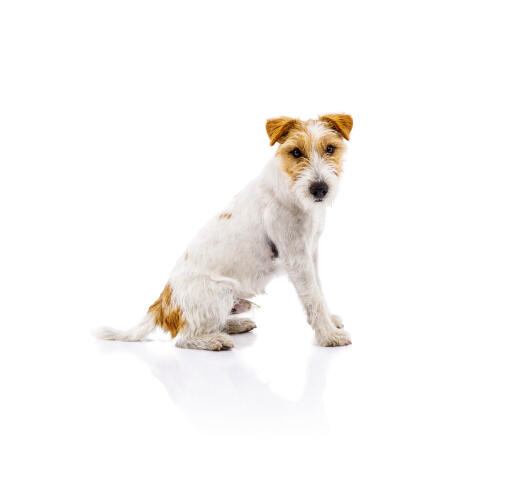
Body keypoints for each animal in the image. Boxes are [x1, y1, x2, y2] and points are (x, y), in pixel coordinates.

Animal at [96, 114, 354, 350]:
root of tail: (162, 305)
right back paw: (216, 341)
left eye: (330, 148)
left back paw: (236, 325)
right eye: (296, 152)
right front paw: (328, 336)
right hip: (219, 294)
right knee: (184, 338)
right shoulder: (296, 257)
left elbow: (319, 289)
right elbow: (313, 298)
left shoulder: (311, 252)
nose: (319, 189)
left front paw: (330, 322)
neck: (292, 191)